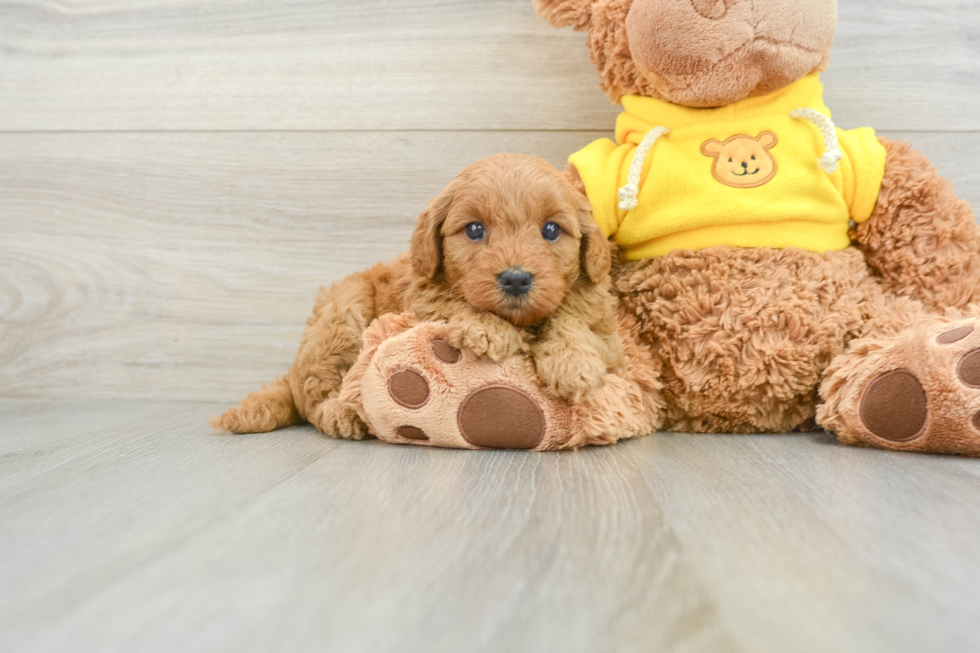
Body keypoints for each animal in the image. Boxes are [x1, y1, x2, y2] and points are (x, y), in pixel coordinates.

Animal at [214, 153, 620, 438]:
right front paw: (486, 329)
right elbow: (453, 302)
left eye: (551, 230)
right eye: (475, 229)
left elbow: (570, 318)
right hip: (343, 313)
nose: (516, 279)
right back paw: (342, 413)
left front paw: (573, 361)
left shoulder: (605, 330)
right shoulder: (420, 296)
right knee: (311, 392)